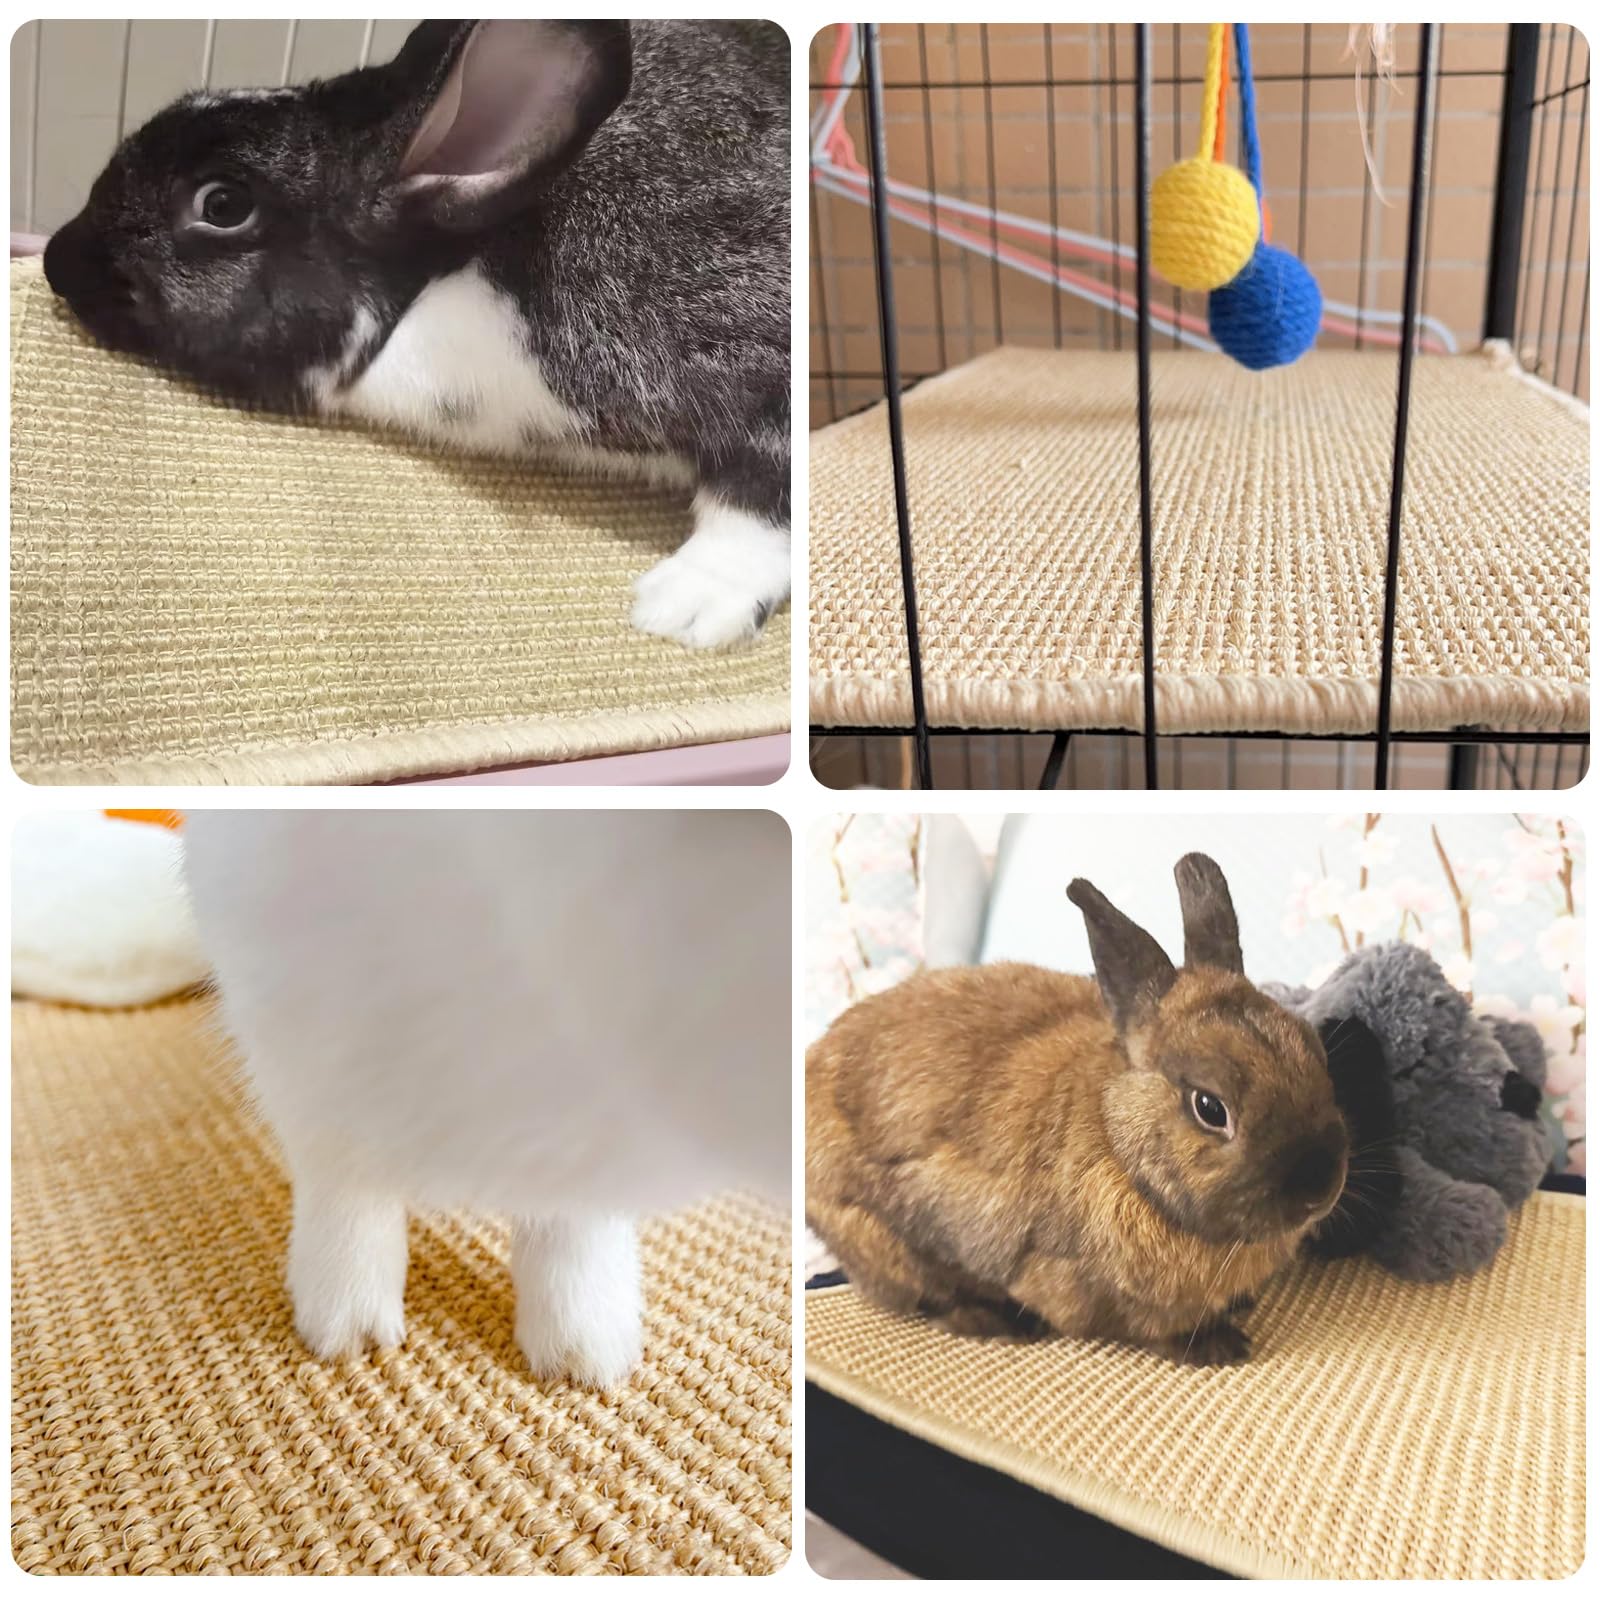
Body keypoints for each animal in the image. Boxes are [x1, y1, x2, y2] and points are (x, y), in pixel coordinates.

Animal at [806, 854, 1349, 1366]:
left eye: (1314, 1050)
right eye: (1210, 1108)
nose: (1320, 1187)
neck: (1118, 1141)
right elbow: (1144, 1328)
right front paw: (1218, 1347)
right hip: (879, 1237)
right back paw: (992, 1320)